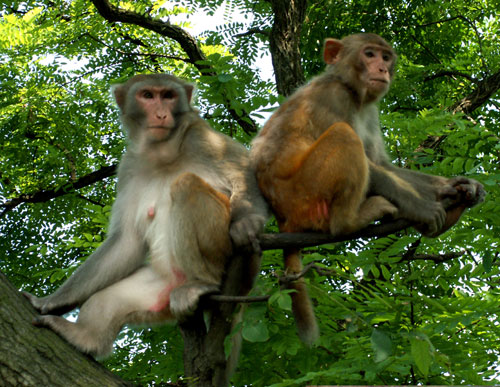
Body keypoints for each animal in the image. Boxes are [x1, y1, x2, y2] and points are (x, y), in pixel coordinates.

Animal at [23, 73, 270, 358]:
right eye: (148, 96)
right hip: (161, 288)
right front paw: (50, 302)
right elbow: (126, 241)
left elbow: (245, 171)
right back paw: (83, 337)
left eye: (168, 96)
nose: (161, 114)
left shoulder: (203, 138)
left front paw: (247, 223)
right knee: (110, 298)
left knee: (186, 185)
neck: (163, 153)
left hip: (225, 257)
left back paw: (203, 282)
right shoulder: (128, 167)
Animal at [252, 33, 486, 346]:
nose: (382, 69)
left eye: (386, 57)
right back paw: (350, 220)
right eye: (369, 54)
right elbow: (372, 168)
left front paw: (456, 187)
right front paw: (422, 208)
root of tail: (283, 218)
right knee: (343, 135)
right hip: (304, 194)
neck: (353, 92)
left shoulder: (371, 110)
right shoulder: (334, 97)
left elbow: (382, 164)